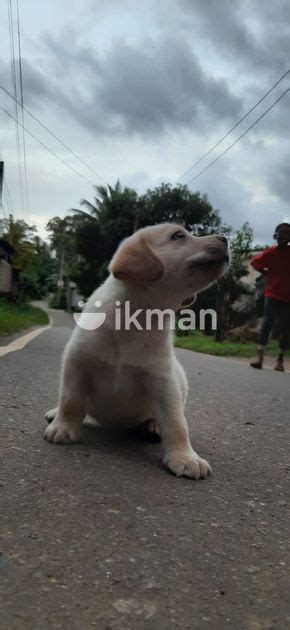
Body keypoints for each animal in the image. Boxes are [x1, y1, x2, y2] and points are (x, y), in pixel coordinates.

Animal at [44, 222, 229, 478]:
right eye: (178, 236)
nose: (225, 239)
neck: (137, 318)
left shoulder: (164, 382)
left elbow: (176, 423)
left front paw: (185, 457)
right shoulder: (77, 361)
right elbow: (70, 400)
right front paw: (63, 427)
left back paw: (153, 426)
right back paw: (55, 413)